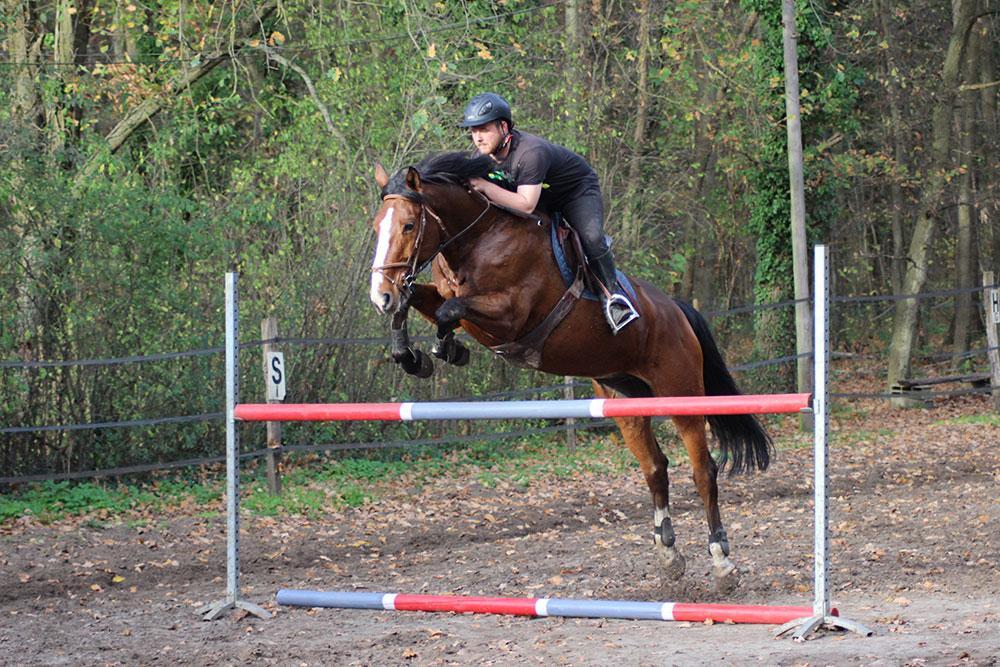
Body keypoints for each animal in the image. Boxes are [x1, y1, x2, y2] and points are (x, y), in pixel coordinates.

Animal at [368, 150, 772, 588]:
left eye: (409, 225)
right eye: (377, 226)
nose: (379, 296)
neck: (477, 239)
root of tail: (677, 311)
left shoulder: (510, 316)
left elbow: (449, 310)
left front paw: (444, 348)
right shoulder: (449, 297)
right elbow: (420, 302)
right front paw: (412, 355)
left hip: (680, 393)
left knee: (703, 471)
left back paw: (722, 561)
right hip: (624, 398)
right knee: (655, 468)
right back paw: (668, 555)